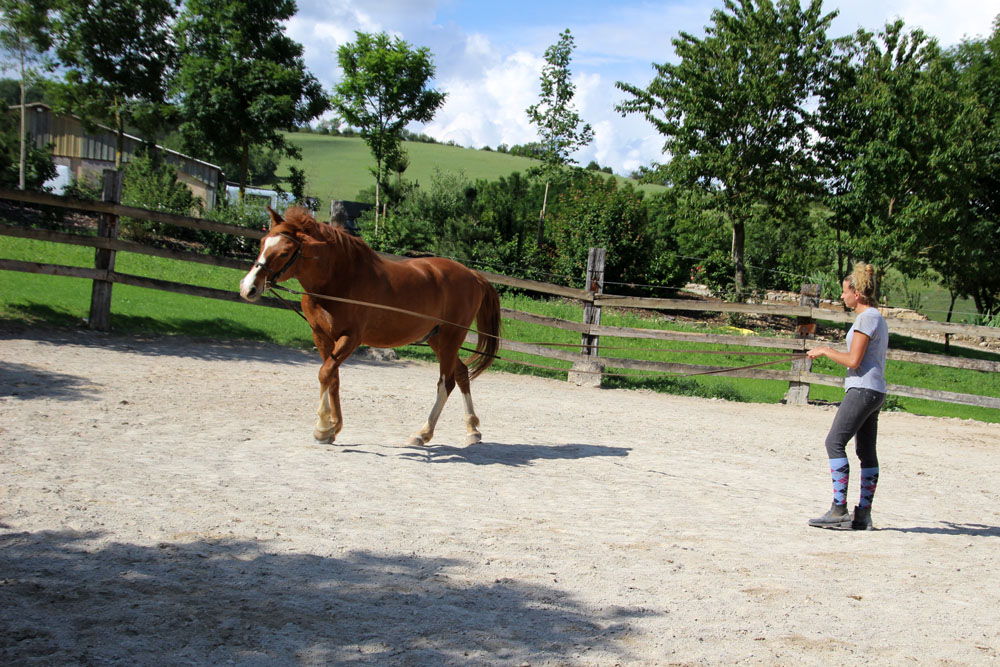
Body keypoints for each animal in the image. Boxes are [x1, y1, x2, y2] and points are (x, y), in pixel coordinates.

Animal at [239, 206, 501, 447]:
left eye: (284, 252)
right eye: (262, 242)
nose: (248, 287)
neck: (339, 280)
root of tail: (473, 275)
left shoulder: (351, 338)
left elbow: (325, 373)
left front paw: (323, 428)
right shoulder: (321, 336)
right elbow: (332, 377)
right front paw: (334, 427)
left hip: (450, 338)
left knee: (446, 383)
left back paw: (422, 433)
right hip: (437, 339)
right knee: (461, 374)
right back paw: (472, 430)